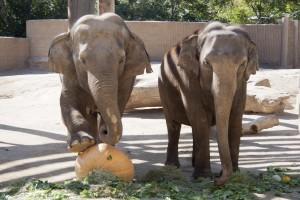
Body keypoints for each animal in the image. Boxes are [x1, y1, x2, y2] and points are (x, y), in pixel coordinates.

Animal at [49, 13, 152, 152]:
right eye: (82, 60)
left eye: (121, 60)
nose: (104, 130)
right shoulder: (69, 72)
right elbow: (67, 101)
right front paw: (81, 143)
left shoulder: (128, 76)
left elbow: (120, 100)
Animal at [158, 22, 258, 186]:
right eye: (206, 63)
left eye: (242, 64)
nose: (217, 179)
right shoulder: (188, 78)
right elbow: (200, 118)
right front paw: (203, 177)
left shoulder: (242, 84)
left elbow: (235, 119)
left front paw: (235, 175)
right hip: (163, 88)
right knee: (173, 126)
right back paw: (172, 166)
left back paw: (192, 163)